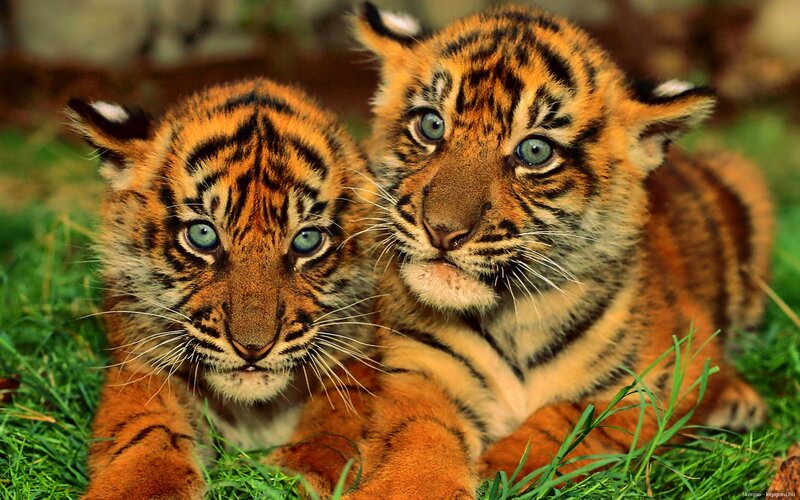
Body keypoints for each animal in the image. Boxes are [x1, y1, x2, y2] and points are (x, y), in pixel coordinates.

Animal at [66, 78, 381, 499]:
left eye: (307, 240)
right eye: (203, 235)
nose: (253, 348)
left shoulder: (359, 360)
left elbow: (336, 421)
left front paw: (298, 474)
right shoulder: (139, 365)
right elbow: (149, 432)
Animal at [298, 3, 775, 498]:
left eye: (534, 151)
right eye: (431, 125)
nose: (442, 231)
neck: (513, 319)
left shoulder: (663, 372)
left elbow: (570, 419)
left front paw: (500, 469)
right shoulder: (421, 367)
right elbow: (418, 435)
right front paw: (413, 484)